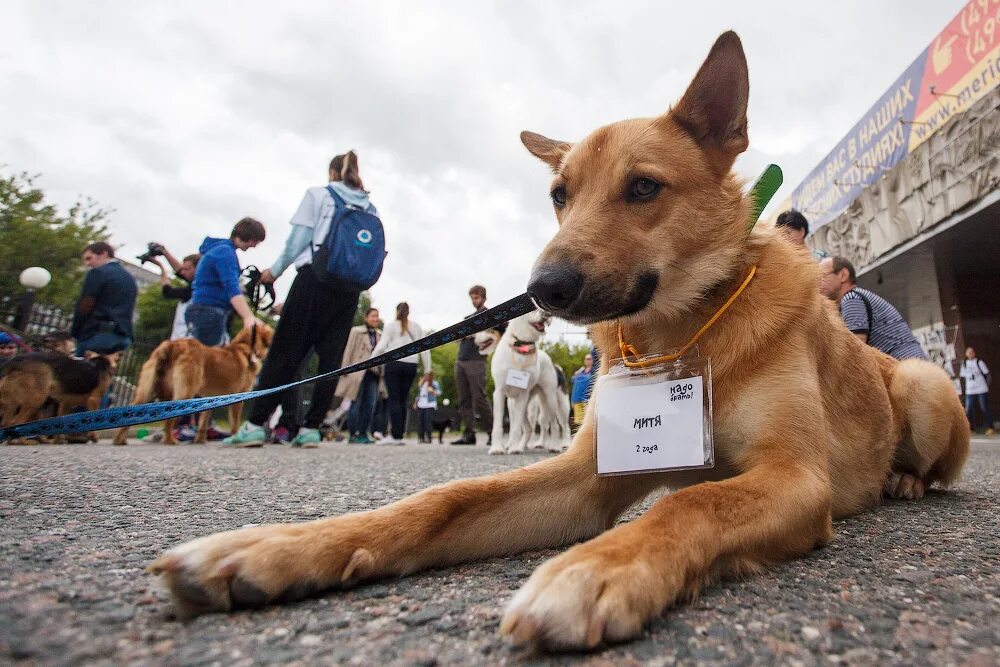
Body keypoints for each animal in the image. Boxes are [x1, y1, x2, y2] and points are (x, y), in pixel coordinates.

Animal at [490, 310, 572, 456]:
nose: (547, 314)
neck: (521, 346)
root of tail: (555, 365)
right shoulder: (500, 392)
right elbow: (499, 425)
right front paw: (497, 448)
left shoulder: (522, 395)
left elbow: (516, 428)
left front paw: (513, 448)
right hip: (525, 405)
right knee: (533, 427)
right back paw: (526, 445)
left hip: (555, 401)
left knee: (558, 425)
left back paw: (558, 445)